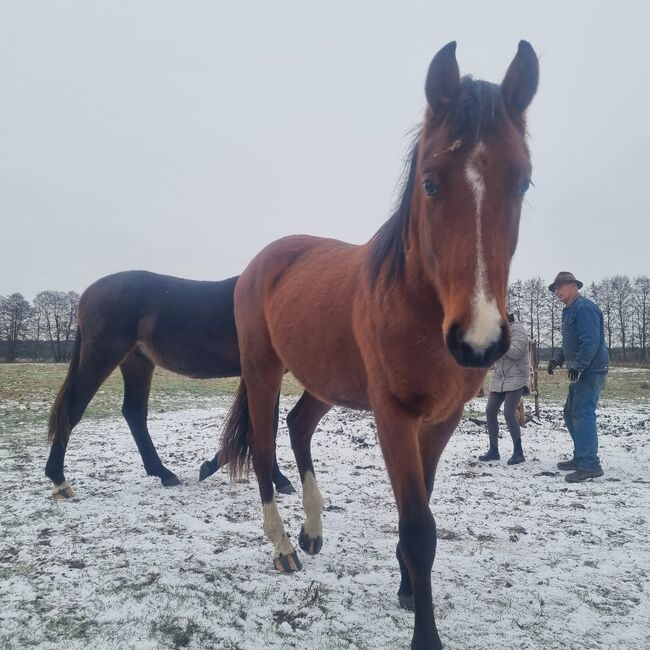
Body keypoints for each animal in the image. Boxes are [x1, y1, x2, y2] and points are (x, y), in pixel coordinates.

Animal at [46, 268, 294, 496]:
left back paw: (164, 473)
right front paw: (279, 480)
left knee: (134, 412)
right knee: (72, 410)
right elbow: (265, 426)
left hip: (137, 363)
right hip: (102, 358)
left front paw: (210, 466)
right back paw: (59, 479)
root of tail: (88, 293)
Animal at [220, 41, 540, 648]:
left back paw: (313, 530)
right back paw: (284, 547)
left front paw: (408, 588)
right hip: (263, 369)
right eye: (430, 182)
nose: (479, 341)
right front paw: (424, 631)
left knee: (299, 426)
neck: (419, 306)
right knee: (267, 446)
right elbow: (418, 527)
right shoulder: (393, 416)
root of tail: (262, 261)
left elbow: (424, 509)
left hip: (326, 381)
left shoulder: (440, 420)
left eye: (523, 182)